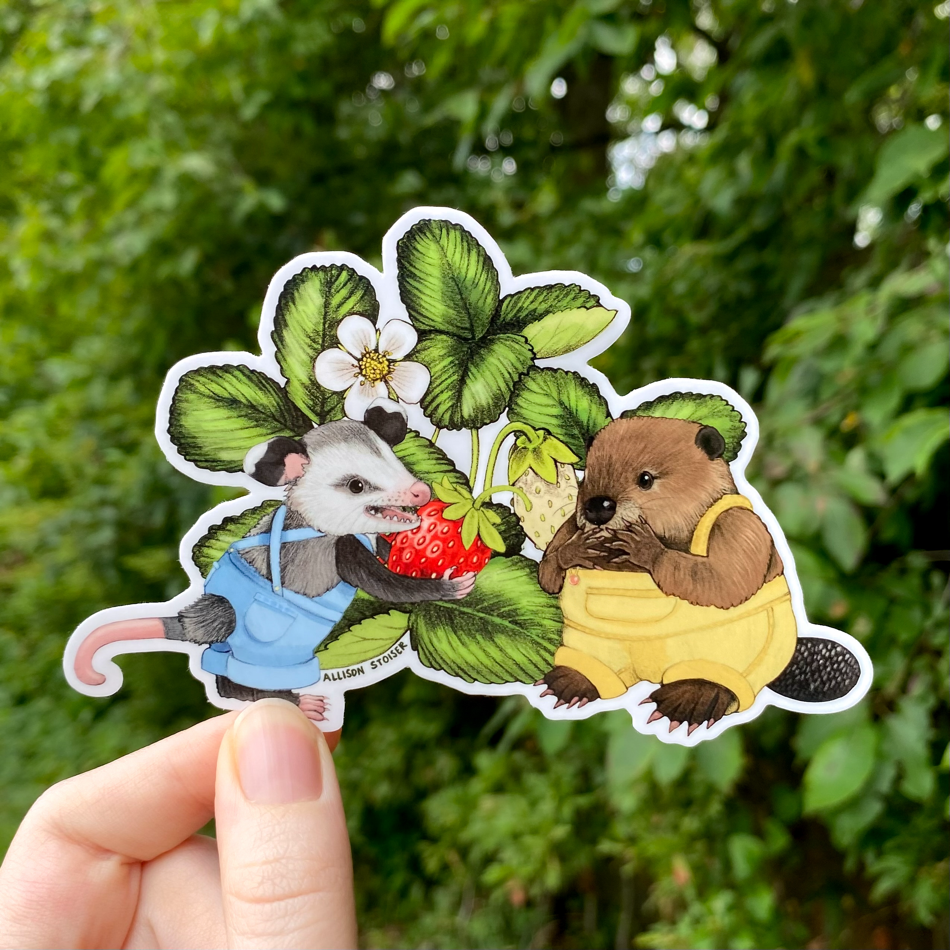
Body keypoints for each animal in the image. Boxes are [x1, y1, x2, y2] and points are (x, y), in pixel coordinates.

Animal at [536, 412, 864, 732]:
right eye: (587, 476)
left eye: (645, 479)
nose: (597, 506)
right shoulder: (568, 526)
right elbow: (547, 572)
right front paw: (577, 549)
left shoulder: (739, 525)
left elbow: (725, 580)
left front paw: (642, 545)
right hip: (595, 645)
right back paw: (564, 683)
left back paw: (682, 702)